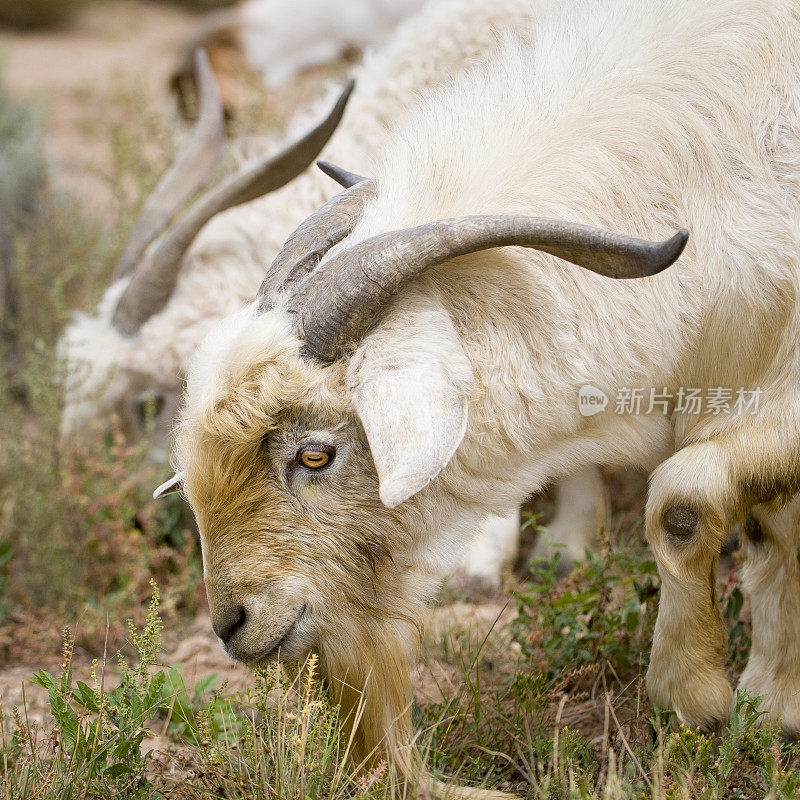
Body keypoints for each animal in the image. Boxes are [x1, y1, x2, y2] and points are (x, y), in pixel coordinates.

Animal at [173, 0, 800, 788]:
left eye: (315, 455)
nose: (232, 624)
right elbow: (772, 529)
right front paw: (773, 705)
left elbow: (684, 504)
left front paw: (699, 696)